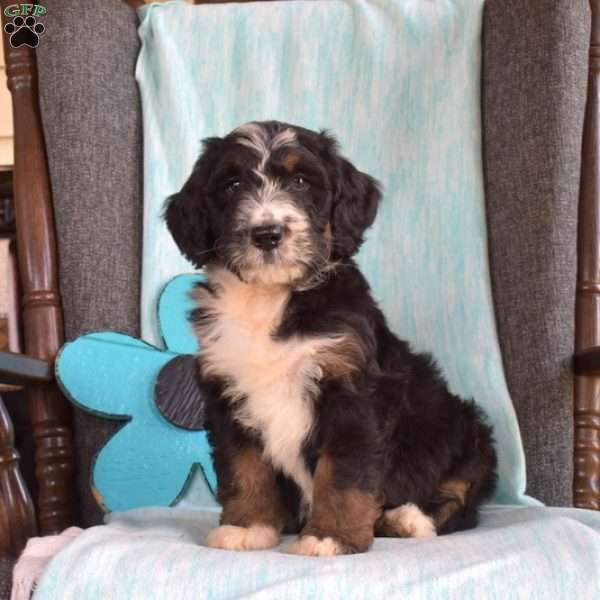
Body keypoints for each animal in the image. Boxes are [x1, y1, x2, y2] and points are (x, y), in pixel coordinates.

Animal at [165, 119, 496, 556]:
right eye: (232, 185)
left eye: (302, 181)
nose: (267, 233)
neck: (269, 298)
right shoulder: (228, 394)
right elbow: (243, 468)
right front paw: (248, 526)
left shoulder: (350, 393)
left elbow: (342, 473)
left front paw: (330, 536)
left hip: (466, 430)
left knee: (462, 497)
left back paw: (408, 518)